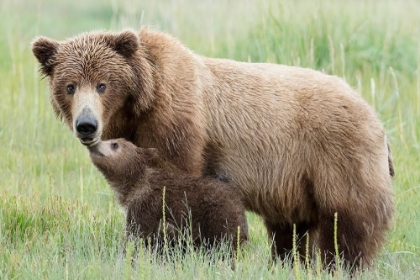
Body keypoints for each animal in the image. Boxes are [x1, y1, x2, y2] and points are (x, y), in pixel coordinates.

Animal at [87, 139, 248, 255]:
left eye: (115, 144)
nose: (93, 144)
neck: (131, 186)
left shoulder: (146, 203)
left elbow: (137, 233)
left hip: (217, 216)